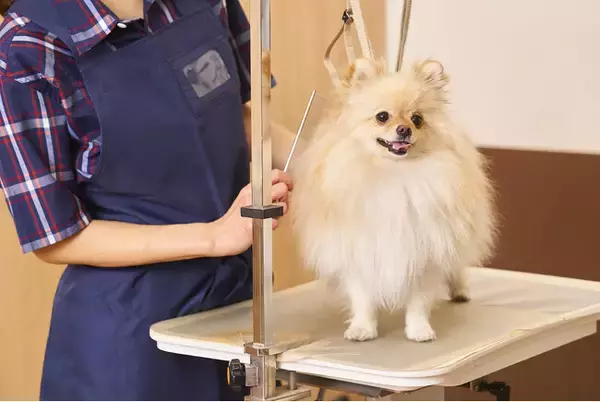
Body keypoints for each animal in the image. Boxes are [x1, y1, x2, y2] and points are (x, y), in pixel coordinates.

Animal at [289, 58, 496, 342]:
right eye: (382, 116)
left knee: (456, 267)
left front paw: (419, 330)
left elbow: (419, 299)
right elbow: (362, 296)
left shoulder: (425, 250)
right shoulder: (359, 250)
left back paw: (460, 290)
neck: (394, 174)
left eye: (417, 119)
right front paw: (363, 328)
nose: (404, 129)